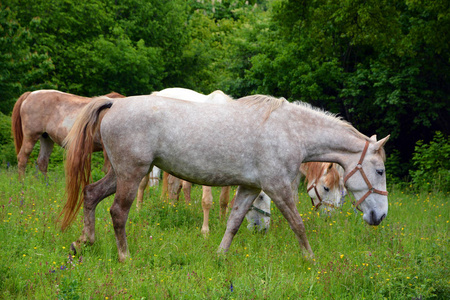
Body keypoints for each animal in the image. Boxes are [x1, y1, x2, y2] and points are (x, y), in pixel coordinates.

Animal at [60, 95, 390, 262]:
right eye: (380, 170)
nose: (380, 216)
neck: (291, 131)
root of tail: (114, 103)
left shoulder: (249, 188)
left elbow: (233, 223)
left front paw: (219, 256)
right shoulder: (278, 188)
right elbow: (298, 224)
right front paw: (311, 260)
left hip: (119, 173)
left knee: (90, 194)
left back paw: (84, 242)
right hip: (131, 174)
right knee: (118, 212)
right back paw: (125, 257)